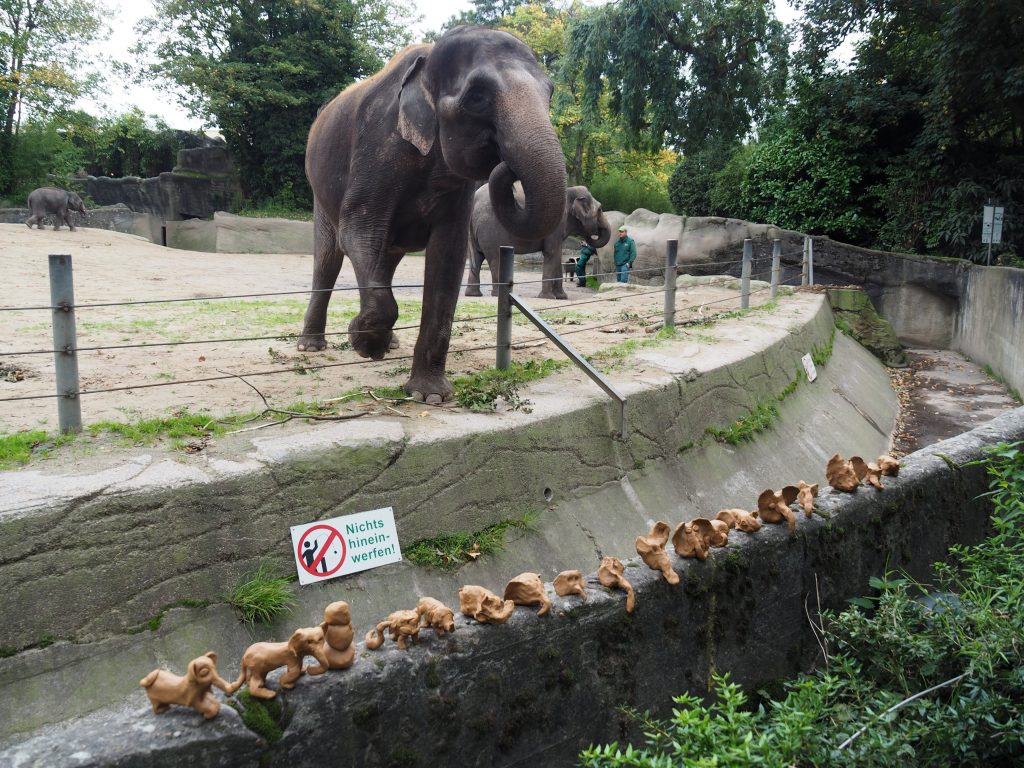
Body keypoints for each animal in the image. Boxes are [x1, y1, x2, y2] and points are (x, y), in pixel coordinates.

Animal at [296, 26, 569, 405]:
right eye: (477, 98)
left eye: (550, 93)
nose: (506, 165)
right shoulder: (378, 146)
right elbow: (358, 231)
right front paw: (364, 343)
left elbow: (447, 255)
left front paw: (430, 396)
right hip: (319, 191)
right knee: (329, 257)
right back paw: (312, 347)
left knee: (384, 257)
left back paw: (390, 343)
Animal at [468, 185, 610, 299]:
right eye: (600, 209)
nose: (585, 240)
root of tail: (474, 202)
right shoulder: (555, 225)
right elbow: (551, 252)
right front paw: (548, 297)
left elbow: (557, 256)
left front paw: (562, 297)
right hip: (490, 230)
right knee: (495, 258)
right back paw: (497, 294)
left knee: (477, 257)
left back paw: (473, 294)